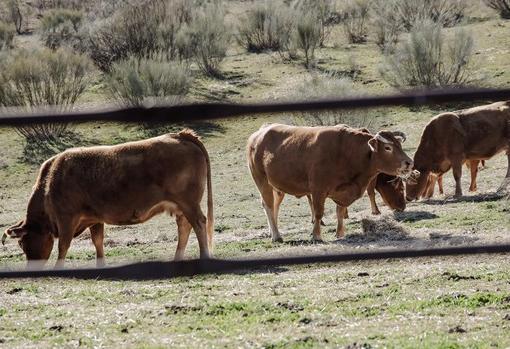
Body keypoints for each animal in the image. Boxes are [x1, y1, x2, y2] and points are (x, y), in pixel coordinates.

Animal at [2, 129, 213, 268]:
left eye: (22, 243)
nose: (30, 268)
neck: (50, 182)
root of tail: (180, 135)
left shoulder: (66, 220)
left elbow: (63, 246)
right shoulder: (94, 219)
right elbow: (98, 242)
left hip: (189, 204)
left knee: (199, 223)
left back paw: (204, 256)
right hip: (180, 207)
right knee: (185, 227)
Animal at [245, 123, 412, 242]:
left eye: (399, 145)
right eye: (388, 147)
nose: (409, 162)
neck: (346, 152)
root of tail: (259, 133)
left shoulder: (343, 192)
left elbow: (340, 212)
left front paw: (340, 233)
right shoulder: (318, 190)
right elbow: (319, 212)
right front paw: (316, 235)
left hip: (277, 187)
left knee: (274, 206)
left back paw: (273, 231)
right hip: (262, 181)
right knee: (268, 205)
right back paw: (276, 236)